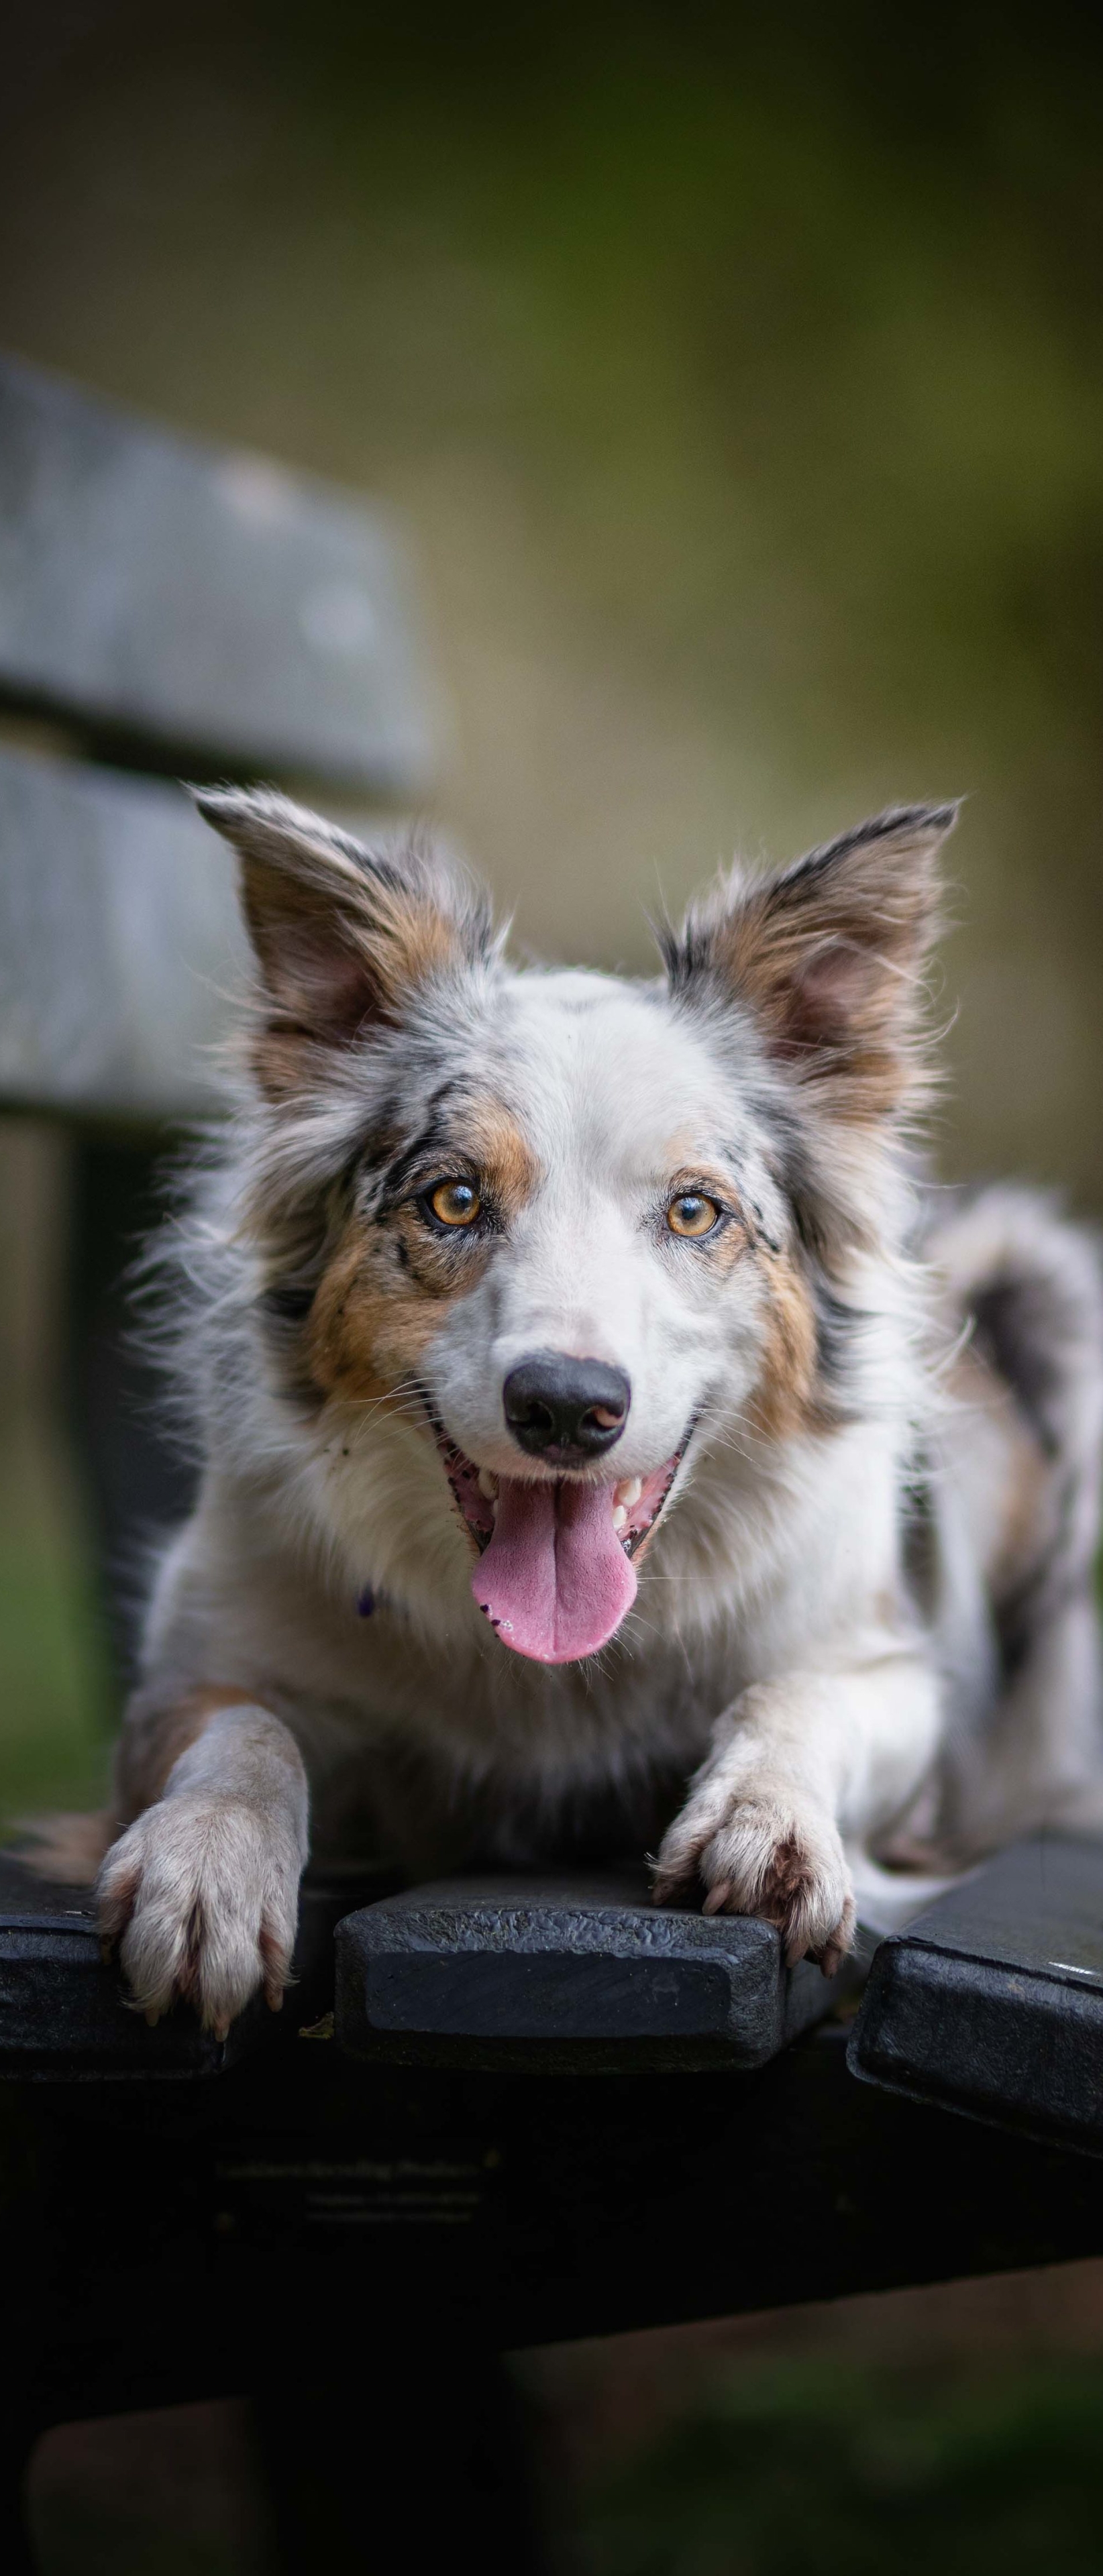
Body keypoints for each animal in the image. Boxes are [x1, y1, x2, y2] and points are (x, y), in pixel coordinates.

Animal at [72, 783, 1098, 2029]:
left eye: (696, 1212)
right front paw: (205, 1868)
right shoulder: (187, 1673)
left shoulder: (890, 1672)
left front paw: (767, 1823)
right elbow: (243, 1729)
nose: (566, 1408)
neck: (547, 1681)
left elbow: (800, 1696)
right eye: (453, 1201)